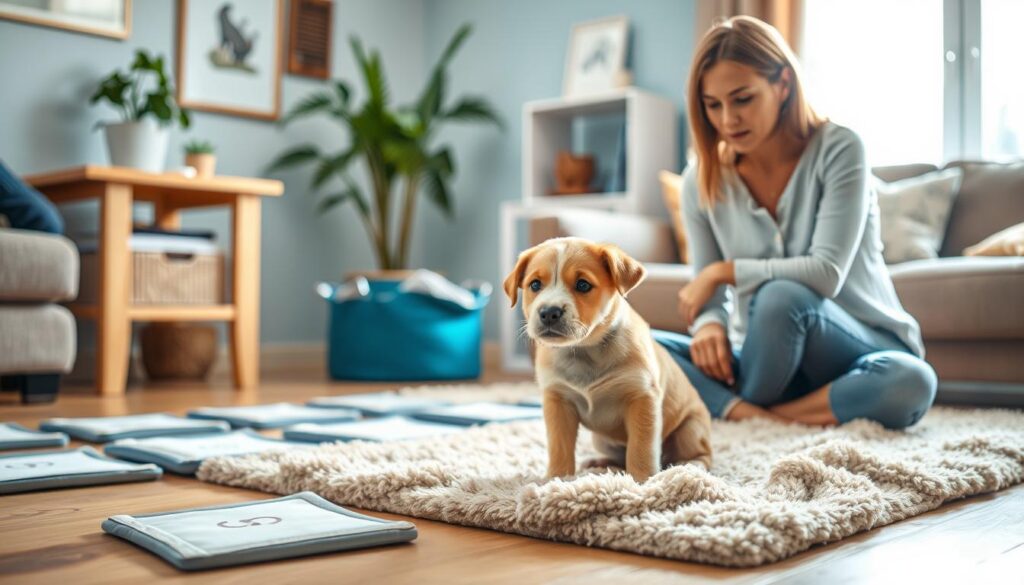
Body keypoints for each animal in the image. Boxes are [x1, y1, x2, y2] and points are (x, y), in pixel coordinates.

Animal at [503, 235, 712, 483]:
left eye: (583, 285)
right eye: (535, 285)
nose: (549, 313)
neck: (584, 351)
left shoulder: (642, 397)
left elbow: (641, 447)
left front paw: (641, 481)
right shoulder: (557, 400)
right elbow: (559, 445)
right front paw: (557, 477)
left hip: (690, 430)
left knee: (702, 455)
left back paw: (691, 465)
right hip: (602, 439)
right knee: (619, 457)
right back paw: (599, 463)